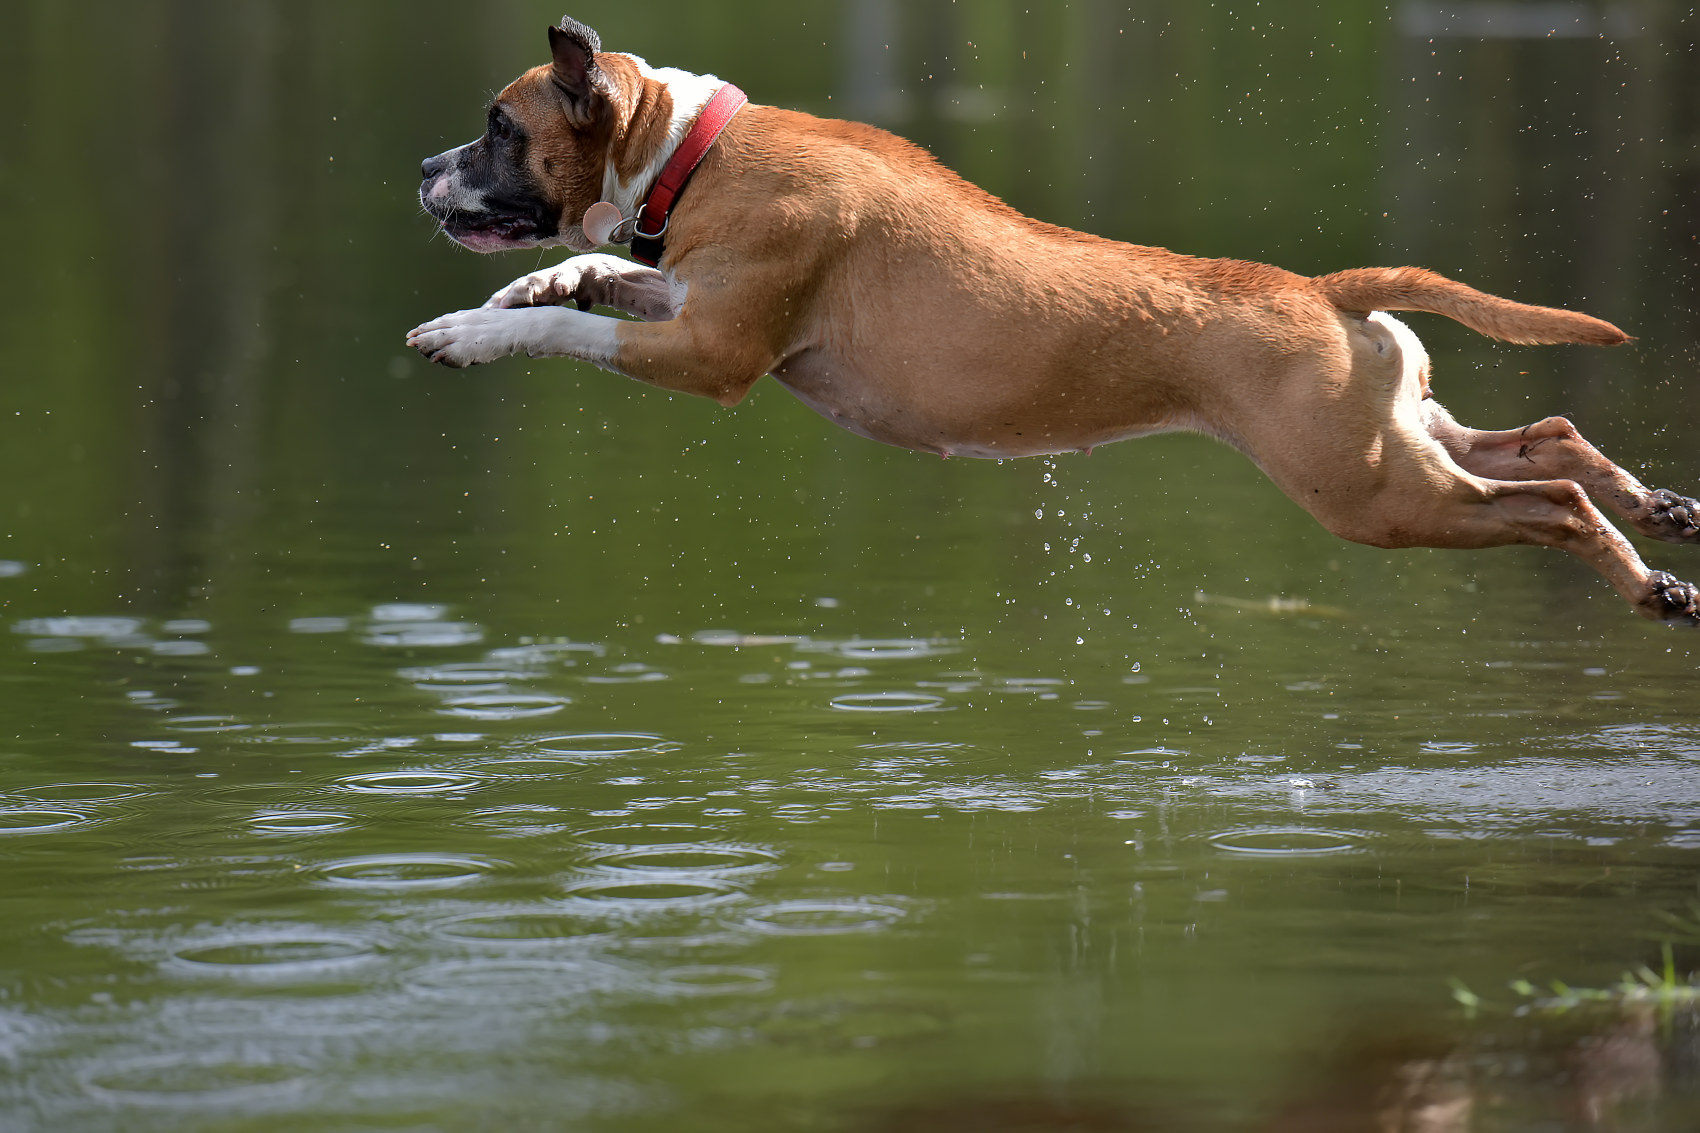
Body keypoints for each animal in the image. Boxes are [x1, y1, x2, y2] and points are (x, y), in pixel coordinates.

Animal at [411, 13, 1700, 622]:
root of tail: (1328, 292)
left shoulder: (710, 352)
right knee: (1544, 437)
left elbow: (577, 328)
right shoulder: (683, 303)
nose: (422, 169)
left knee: (1550, 500)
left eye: (496, 126)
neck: (692, 151)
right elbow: (586, 280)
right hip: (1401, 439)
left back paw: (1644, 580)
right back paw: (1661, 516)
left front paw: (476, 333)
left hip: (1376, 494)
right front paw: (513, 293)